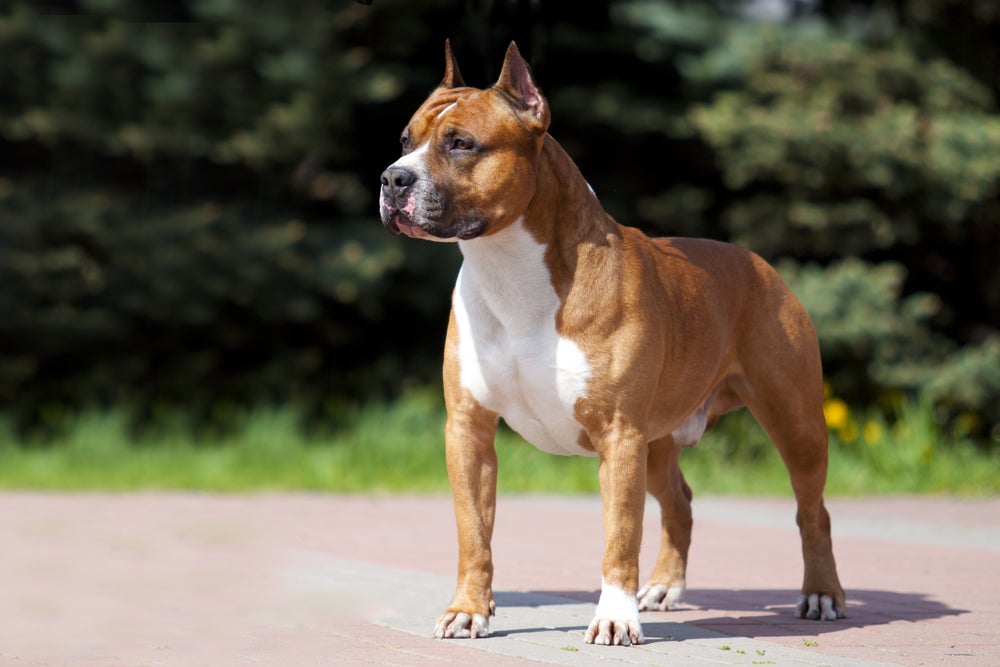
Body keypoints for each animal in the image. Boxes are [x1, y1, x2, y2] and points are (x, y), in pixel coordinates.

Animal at [378, 41, 848, 648]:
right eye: (404, 141)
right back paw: (666, 588)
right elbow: (473, 532)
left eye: (461, 143)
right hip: (660, 439)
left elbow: (620, 536)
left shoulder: (619, 435)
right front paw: (467, 610)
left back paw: (822, 594)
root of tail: (761, 265)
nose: (392, 179)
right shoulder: (468, 431)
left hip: (794, 420)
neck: (507, 269)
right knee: (680, 503)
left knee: (813, 512)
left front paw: (616, 618)